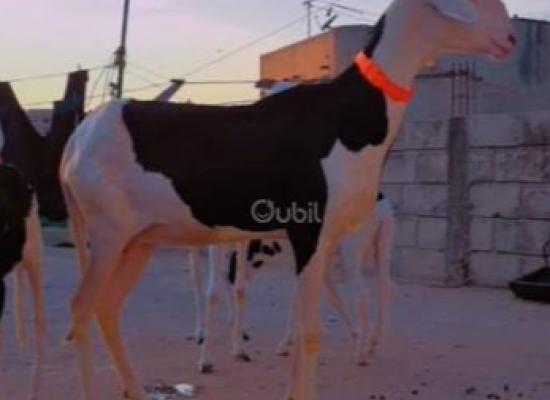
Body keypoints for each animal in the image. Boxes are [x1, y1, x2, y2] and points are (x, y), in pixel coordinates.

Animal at [60, 1, 516, 399]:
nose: (510, 38)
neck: (344, 117)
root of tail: (76, 143)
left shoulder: (318, 242)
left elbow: (302, 327)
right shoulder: (308, 231)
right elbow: (309, 334)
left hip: (139, 241)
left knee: (106, 309)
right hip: (109, 235)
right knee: (82, 307)